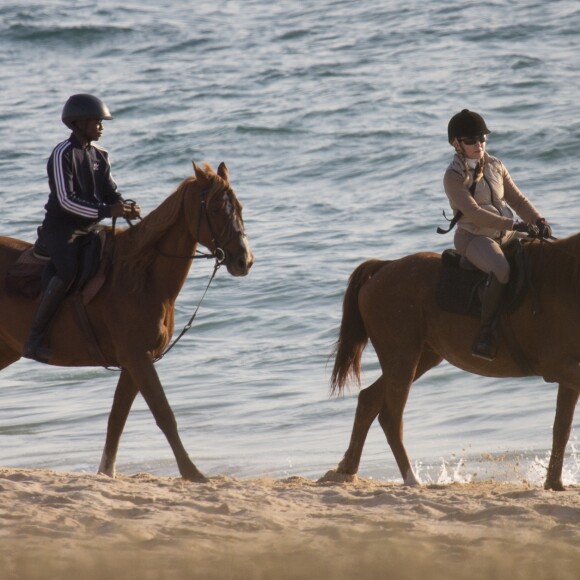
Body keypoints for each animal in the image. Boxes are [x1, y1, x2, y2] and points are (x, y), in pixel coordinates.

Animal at [0, 162, 254, 480]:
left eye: (240, 206)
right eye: (218, 208)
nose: (244, 260)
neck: (141, 275)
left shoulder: (136, 362)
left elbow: (117, 419)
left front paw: (106, 472)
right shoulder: (137, 358)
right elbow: (164, 414)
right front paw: (192, 472)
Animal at [328, 234, 580, 490]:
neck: (566, 278)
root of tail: (384, 267)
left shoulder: (567, 373)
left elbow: (561, 427)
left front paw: (554, 483)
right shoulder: (559, 367)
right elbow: (563, 426)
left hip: (419, 358)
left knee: (368, 400)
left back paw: (346, 469)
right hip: (402, 359)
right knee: (390, 417)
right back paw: (411, 479)